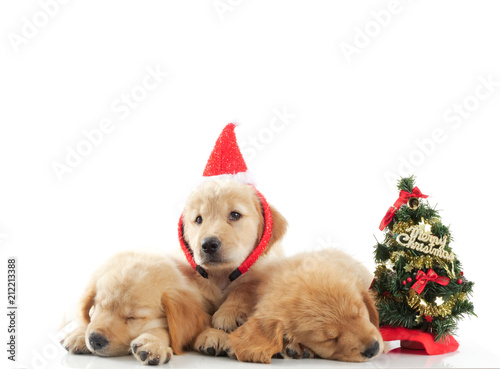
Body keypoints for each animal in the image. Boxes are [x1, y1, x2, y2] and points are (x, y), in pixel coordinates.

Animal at [61, 252, 210, 364]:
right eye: (100, 306)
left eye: (132, 317)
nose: (95, 339)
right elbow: (87, 320)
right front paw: (79, 334)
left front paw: (152, 341)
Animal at [179, 178, 290, 354]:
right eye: (198, 219)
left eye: (235, 215)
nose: (208, 245)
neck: (222, 274)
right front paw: (211, 334)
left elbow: (246, 286)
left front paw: (229, 312)